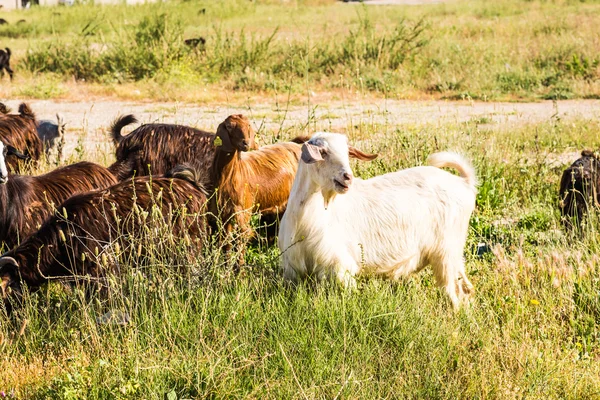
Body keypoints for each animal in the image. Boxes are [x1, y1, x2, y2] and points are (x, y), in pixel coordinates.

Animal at [278, 133, 478, 308]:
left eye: (347, 153)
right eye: (323, 152)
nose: (347, 177)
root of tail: (464, 184)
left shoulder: (340, 264)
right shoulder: (293, 268)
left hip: (445, 251)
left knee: (452, 291)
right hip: (453, 250)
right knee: (465, 286)